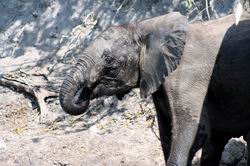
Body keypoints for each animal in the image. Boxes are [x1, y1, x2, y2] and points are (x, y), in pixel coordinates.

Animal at [59, 12, 250, 166]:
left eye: (108, 59)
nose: (85, 92)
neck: (144, 28)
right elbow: (165, 136)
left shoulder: (187, 74)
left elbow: (194, 133)